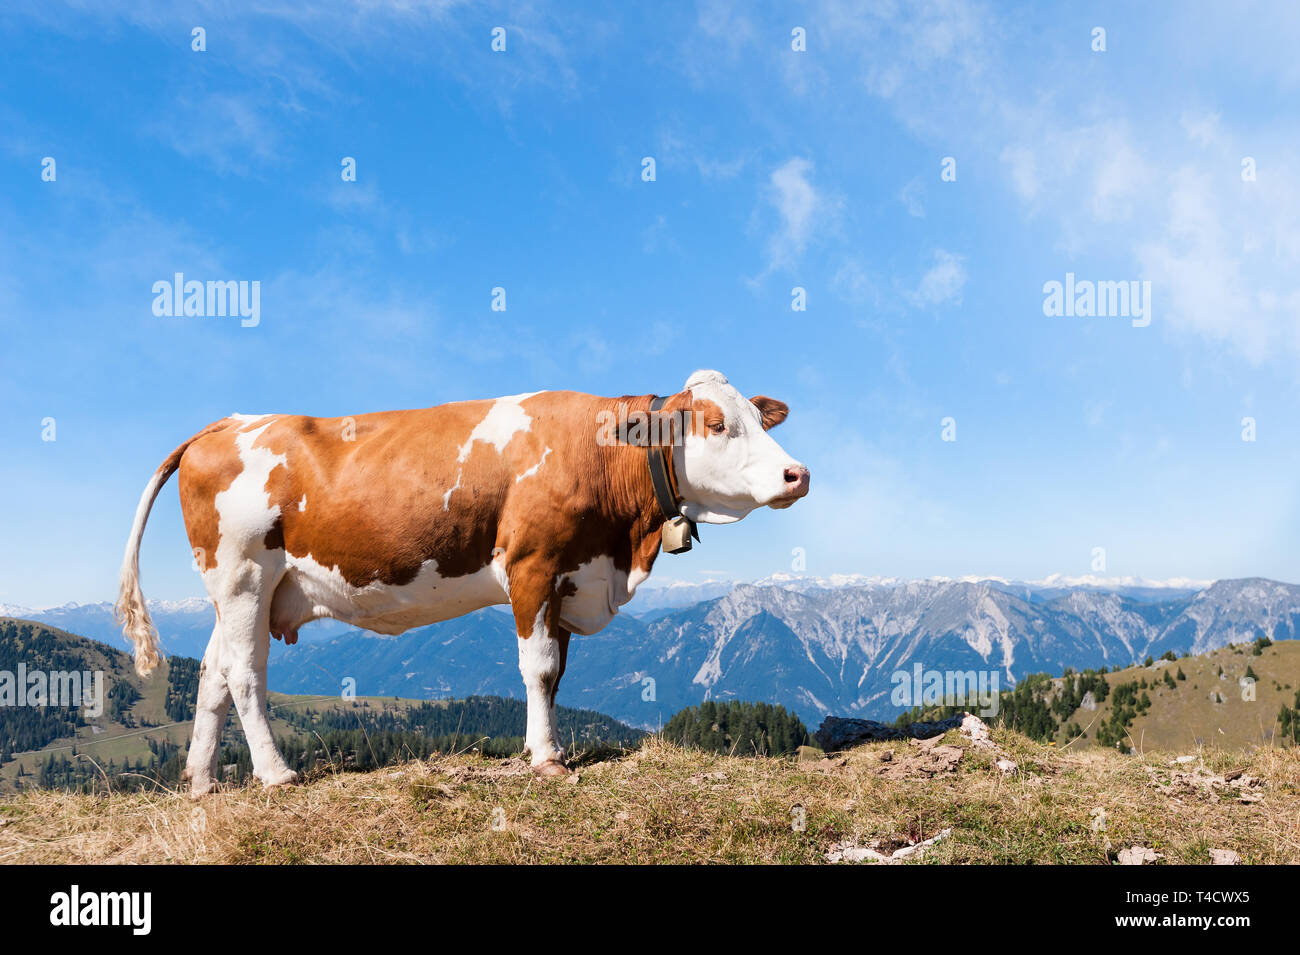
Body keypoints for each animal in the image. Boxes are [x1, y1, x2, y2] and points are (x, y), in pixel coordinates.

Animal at [119, 366, 811, 789]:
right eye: (717, 424)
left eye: (759, 418)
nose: (797, 473)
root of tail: (226, 422)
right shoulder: (533, 564)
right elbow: (539, 667)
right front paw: (548, 760)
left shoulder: (570, 577)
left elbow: (558, 673)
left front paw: (541, 746)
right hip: (243, 573)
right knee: (243, 673)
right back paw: (275, 773)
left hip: (245, 590)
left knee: (212, 674)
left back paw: (204, 781)